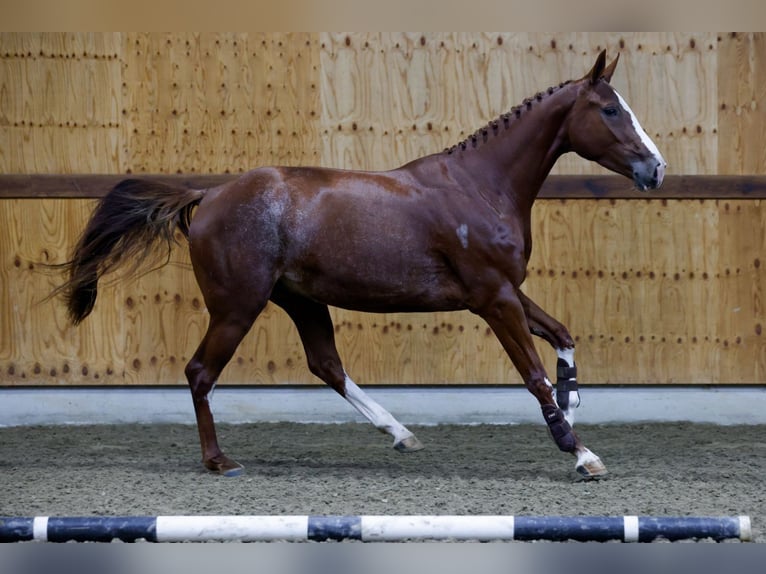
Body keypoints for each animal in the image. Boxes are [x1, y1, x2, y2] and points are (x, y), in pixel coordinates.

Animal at [55, 51, 664, 480]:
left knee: (325, 364)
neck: (480, 187)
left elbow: (563, 335)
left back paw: (400, 433)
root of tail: (208, 196)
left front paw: (572, 403)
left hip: (300, 300)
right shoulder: (494, 299)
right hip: (238, 307)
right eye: (611, 109)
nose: (655, 169)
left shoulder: (505, 291)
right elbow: (533, 374)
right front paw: (580, 452)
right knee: (201, 373)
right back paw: (219, 461)